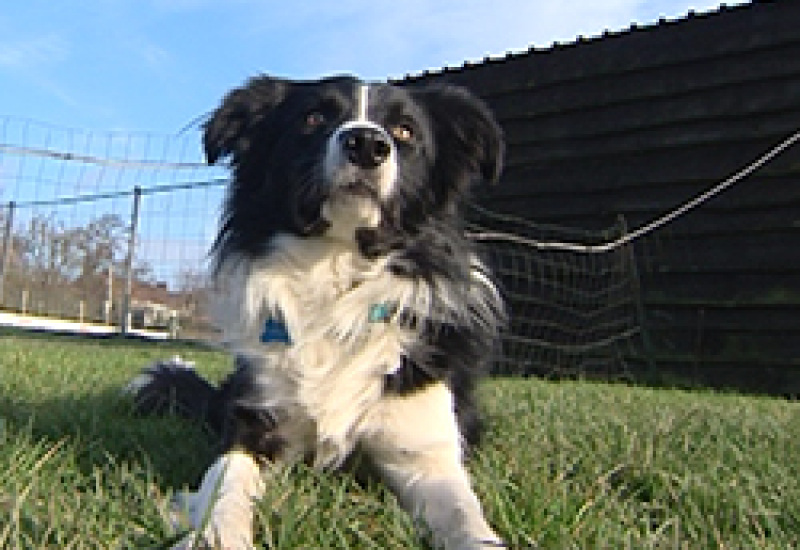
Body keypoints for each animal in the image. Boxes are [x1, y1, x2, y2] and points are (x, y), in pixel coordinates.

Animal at [130, 75, 506, 548]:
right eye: (313, 118)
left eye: (404, 131)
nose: (367, 144)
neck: (334, 275)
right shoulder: (257, 426)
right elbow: (225, 485)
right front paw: (218, 534)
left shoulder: (424, 454)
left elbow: (465, 516)